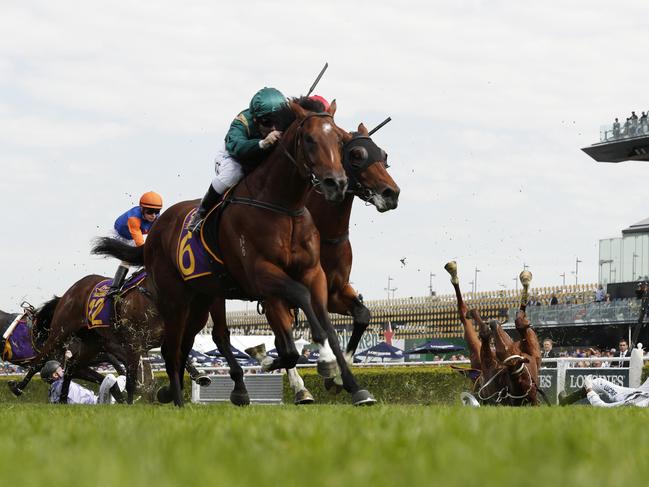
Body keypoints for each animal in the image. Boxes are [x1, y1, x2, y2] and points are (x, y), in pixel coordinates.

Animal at [92, 102, 374, 408]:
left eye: (340, 141)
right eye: (310, 139)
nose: (336, 183)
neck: (282, 206)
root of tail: (156, 230)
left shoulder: (314, 274)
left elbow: (327, 331)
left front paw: (351, 385)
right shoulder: (261, 276)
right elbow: (296, 315)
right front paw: (311, 362)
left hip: (200, 300)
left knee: (186, 345)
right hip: (175, 298)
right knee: (173, 349)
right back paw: (179, 399)